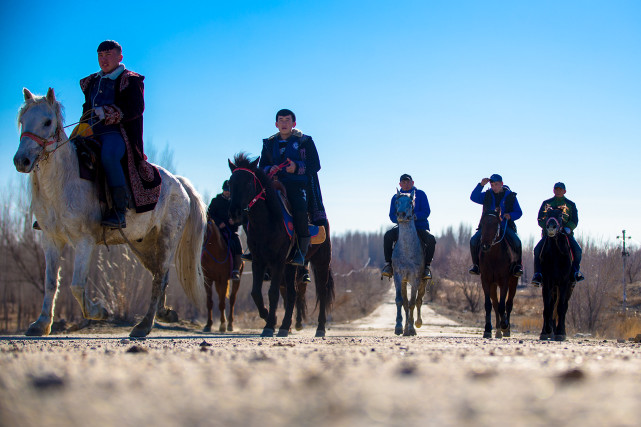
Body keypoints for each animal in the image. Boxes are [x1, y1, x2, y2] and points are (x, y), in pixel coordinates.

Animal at [13, 88, 206, 338]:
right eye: (23, 121)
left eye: (47, 122)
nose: (21, 160)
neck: (62, 181)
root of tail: (179, 182)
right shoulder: (51, 239)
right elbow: (50, 283)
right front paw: (41, 323)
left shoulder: (84, 241)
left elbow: (76, 285)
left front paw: (100, 311)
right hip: (143, 244)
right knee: (160, 275)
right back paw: (164, 314)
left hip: (167, 238)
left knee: (158, 277)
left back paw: (144, 325)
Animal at [388, 192, 428, 336]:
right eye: (396, 202)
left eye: (411, 202)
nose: (401, 214)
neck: (407, 249)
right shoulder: (398, 277)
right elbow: (400, 301)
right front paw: (399, 327)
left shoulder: (415, 279)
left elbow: (412, 303)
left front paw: (411, 328)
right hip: (404, 282)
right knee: (405, 303)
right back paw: (405, 329)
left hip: (423, 282)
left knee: (419, 301)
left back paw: (417, 323)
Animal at [478, 209, 516, 340]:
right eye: (482, 223)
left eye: (496, 224)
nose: (485, 246)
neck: (494, 256)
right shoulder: (485, 281)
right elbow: (489, 305)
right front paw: (487, 330)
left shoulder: (504, 281)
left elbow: (502, 305)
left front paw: (505, 325)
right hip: (493, 285)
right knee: (495, 304)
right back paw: (498, 331)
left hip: (513, 281)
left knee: (508, 304)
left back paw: (506, 329)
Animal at [536, 209, 572, 342]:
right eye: (547, 214)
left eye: (561, 215)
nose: (551, 226)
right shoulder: (547, 282)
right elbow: (548, 308)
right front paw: (546, 331)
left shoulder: (564, 283)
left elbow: (561, 307)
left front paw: (560, 333)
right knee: (551, 307)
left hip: (569, 288)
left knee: (564, 307)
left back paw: (559, 331)